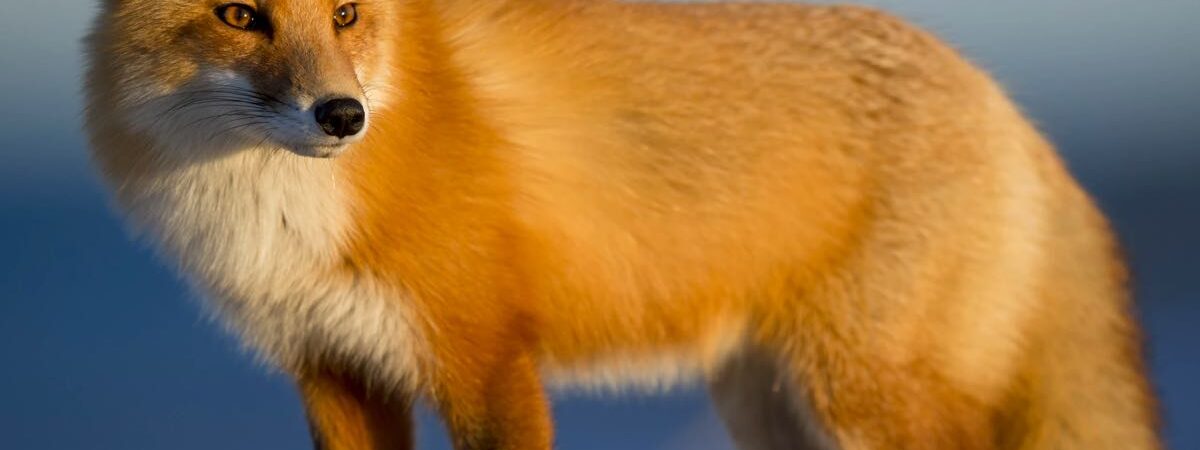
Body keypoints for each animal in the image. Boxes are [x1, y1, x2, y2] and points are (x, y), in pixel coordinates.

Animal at [84, 0, 1161, 449]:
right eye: (239, 13)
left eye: (347, 13)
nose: (342, 115)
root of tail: (1006, 103)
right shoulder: (335, 371)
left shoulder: (486, 361)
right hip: (774, 410)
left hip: (861, 395)